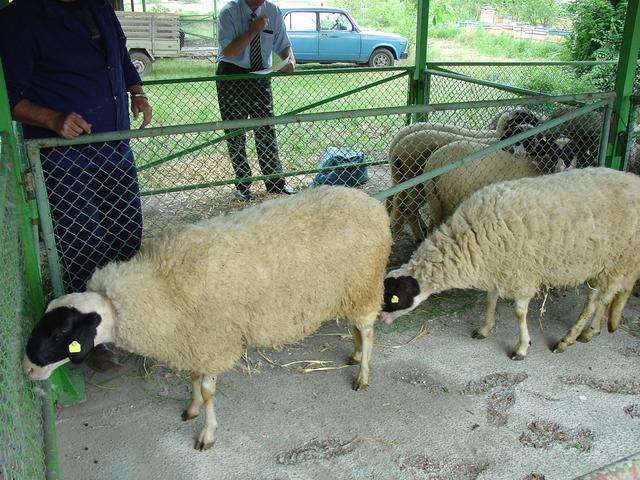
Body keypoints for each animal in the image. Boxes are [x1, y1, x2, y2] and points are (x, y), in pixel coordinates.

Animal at [22, 186, 392, 451]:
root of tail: (371, 205)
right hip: (350, 290)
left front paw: (207, 433)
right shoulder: (193, 339)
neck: (159, 288)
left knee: (367, 329)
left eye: (62, 333)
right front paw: (191, 408)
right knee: (357, 327)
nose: (26, 369)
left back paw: (363, 374)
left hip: (364, 284)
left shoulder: (213, 341)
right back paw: (354, 354)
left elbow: (209, 389)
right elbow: (193, 378)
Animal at [380, 167, 640, 360]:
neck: (469, 238)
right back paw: (592, 331)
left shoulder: (521, 272)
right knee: (602, 298)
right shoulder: (497, 267)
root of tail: (633, 178)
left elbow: (519, 312)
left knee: (598, 300)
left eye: (393, 299)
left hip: (618, 260)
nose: (381, 320)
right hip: (605, 263)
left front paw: (522, 348)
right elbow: (490, 299)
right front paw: (484, 329)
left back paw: (569, 339)